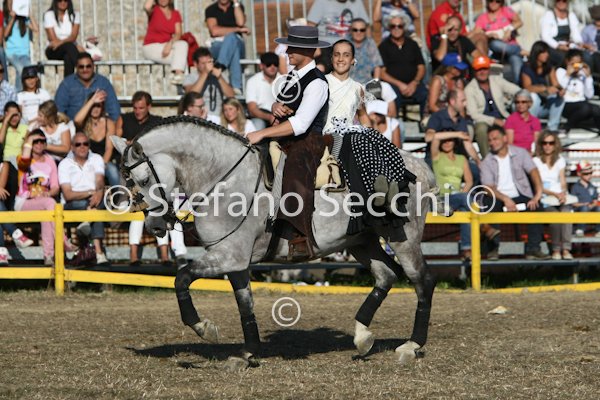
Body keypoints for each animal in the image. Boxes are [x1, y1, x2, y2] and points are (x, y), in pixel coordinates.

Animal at [111, 116, 439, 369]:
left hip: (403, 238)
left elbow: (181, 278)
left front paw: (204, 328)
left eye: (143, 180)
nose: (155, 226)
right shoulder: (235, 259)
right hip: (362, 240)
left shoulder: (228, 255)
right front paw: (248, 352)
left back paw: (411, 346)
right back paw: (362, 336)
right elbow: (245, 302)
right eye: (128, 182)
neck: (224, 178)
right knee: (386, 275)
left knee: (422, 280)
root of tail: (418, 165)